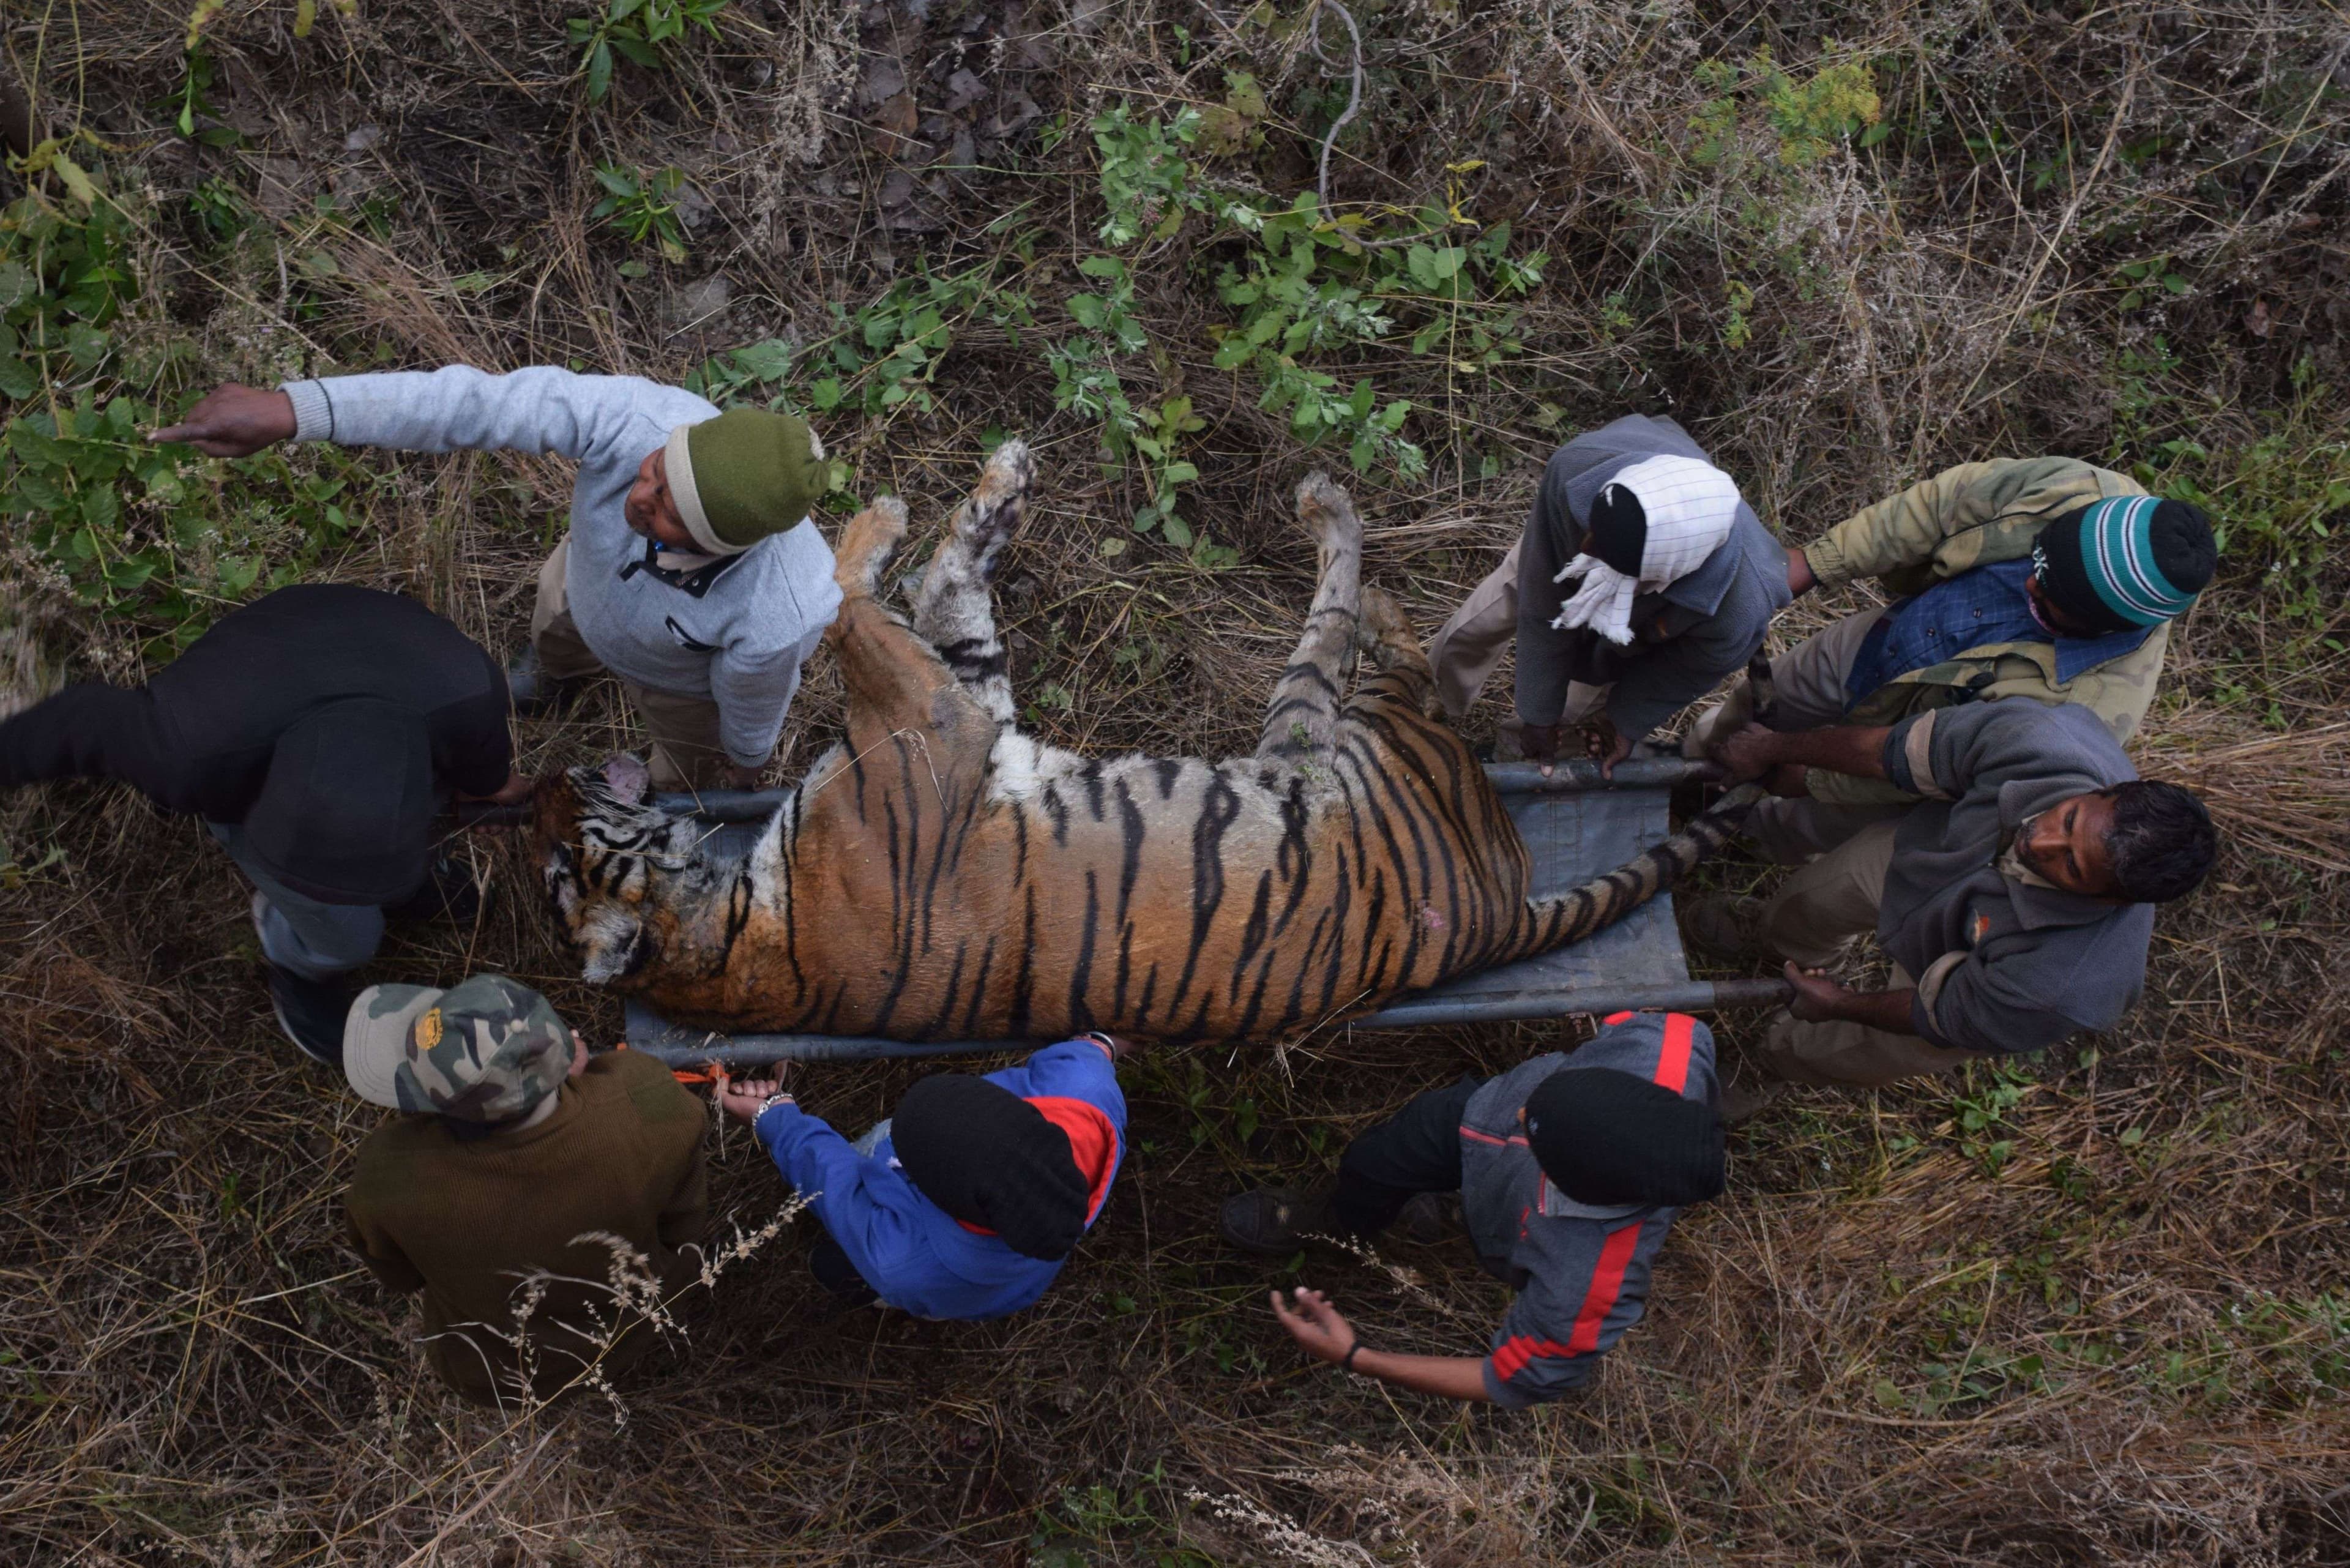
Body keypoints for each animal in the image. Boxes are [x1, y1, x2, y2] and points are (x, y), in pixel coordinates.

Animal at [529, 442, 1748, 1048]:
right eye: (564, 869)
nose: (542, 780)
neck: (737, 926)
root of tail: (1494, 911)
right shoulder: (936, 720)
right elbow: (847, 596)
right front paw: (885, 515)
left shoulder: (963, 699)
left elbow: (936, 583)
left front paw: (996, 486)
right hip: (1339, 731)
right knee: (1368, 633)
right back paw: (1343, 532)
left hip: (1307, 731)